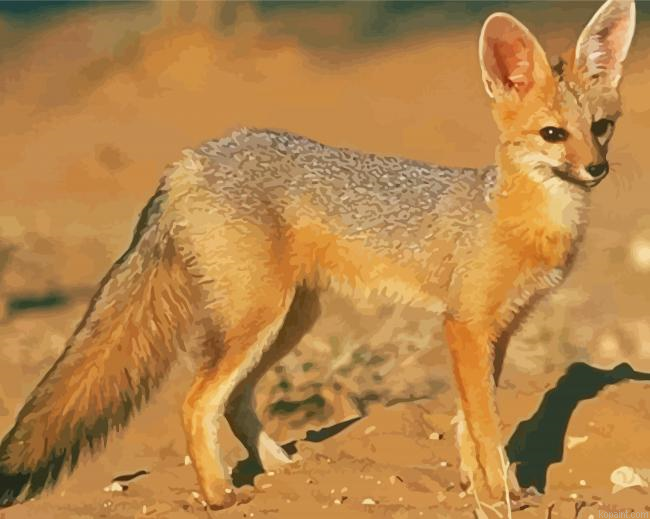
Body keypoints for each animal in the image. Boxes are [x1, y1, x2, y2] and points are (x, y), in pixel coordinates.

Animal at [0, 0, 636, 510]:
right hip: (259, 317)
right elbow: (484, 427)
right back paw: (218, 494)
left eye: (602, 127)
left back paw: (283, 469)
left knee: (235, 401)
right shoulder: (465, 325)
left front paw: (479, 488)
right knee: (196, 401)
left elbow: (467, 424)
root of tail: (193, 156)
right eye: (553, 135)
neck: (513, 216)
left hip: (291, 318)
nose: (597, 169)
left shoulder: (496, 332)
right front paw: (498, 494)